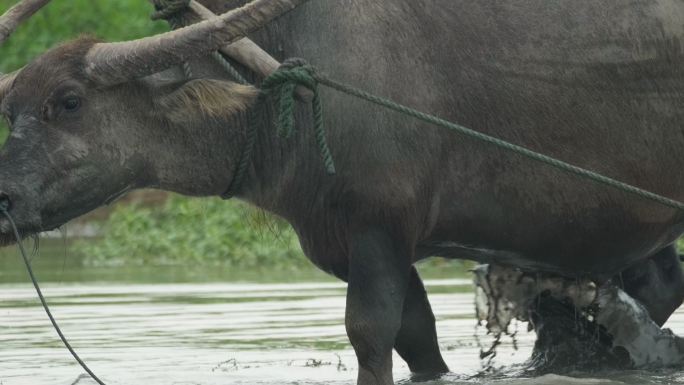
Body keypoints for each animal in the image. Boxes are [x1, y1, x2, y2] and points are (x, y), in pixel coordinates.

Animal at [1, 0, 684, 384]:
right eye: (9, 111)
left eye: (69, 101)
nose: (3, 202)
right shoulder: (354, 245)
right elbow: (417, 340)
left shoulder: (379, 231)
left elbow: (369, 334)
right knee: (657, 290)